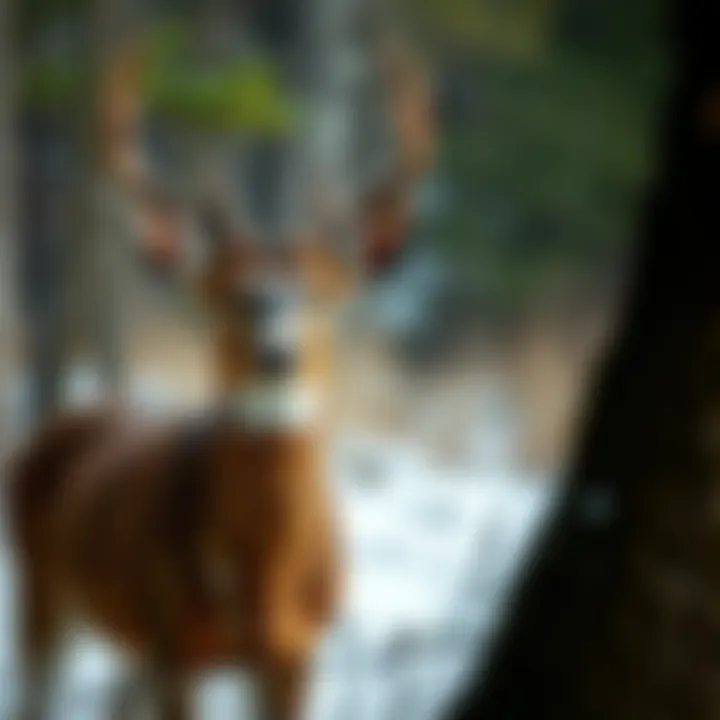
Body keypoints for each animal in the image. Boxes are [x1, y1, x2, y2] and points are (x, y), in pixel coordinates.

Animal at [7, 31, 436, 720]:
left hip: (130, 637)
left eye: (321, 296)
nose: (277, 354)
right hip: (42, 579)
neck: (263, 588)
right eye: (229, 297)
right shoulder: (175, 640)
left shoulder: (298, 652)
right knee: (35, 688)